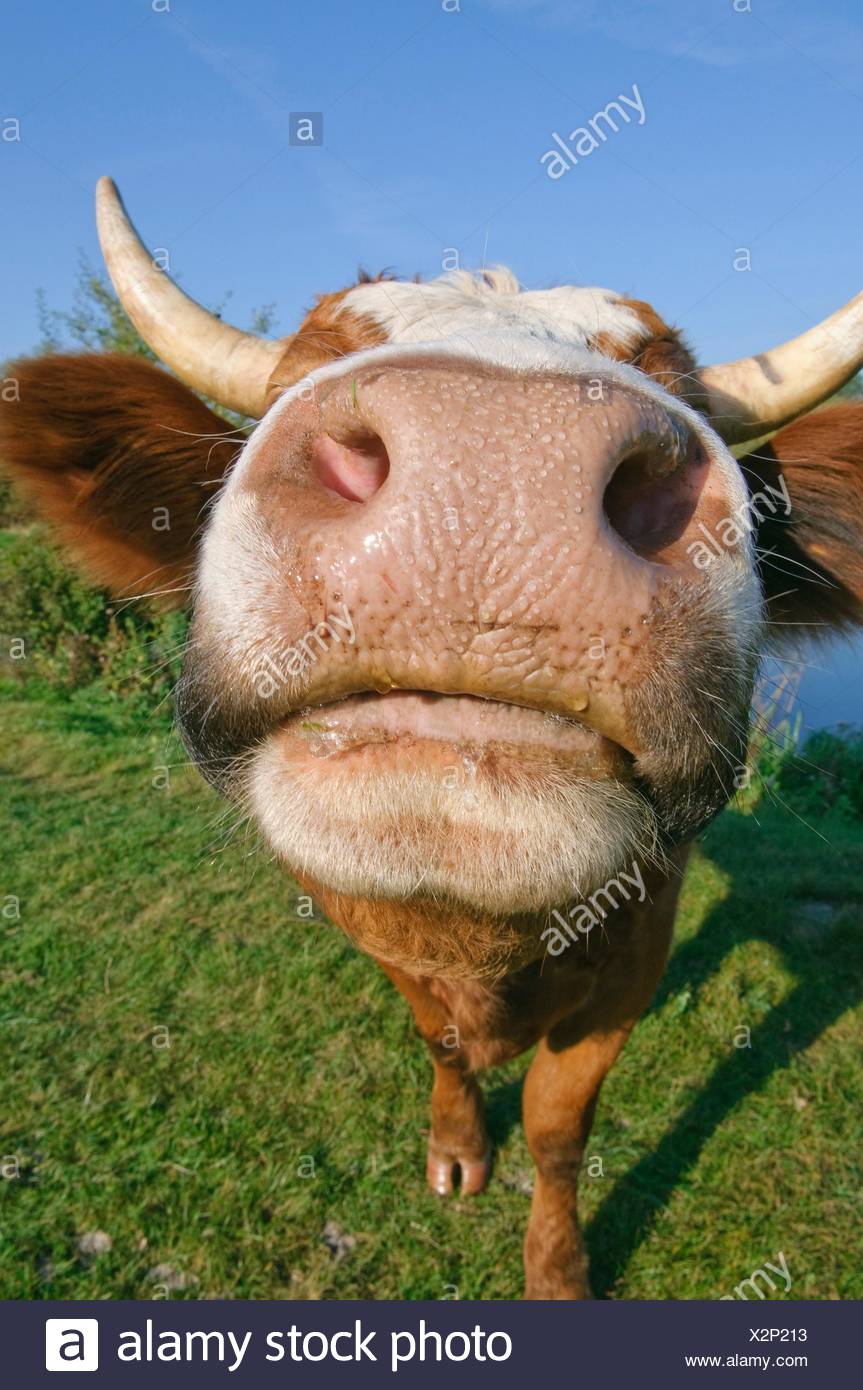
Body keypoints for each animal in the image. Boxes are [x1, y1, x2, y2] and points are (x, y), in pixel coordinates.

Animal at [2, 177, 861, 1299]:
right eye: (301, 365)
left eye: (671, 378)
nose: (492, 453)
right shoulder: (376, 932)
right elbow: (440, 1041)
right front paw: (456, 1148)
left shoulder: (634, 951)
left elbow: (557, 1125)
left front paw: (557, 1269)